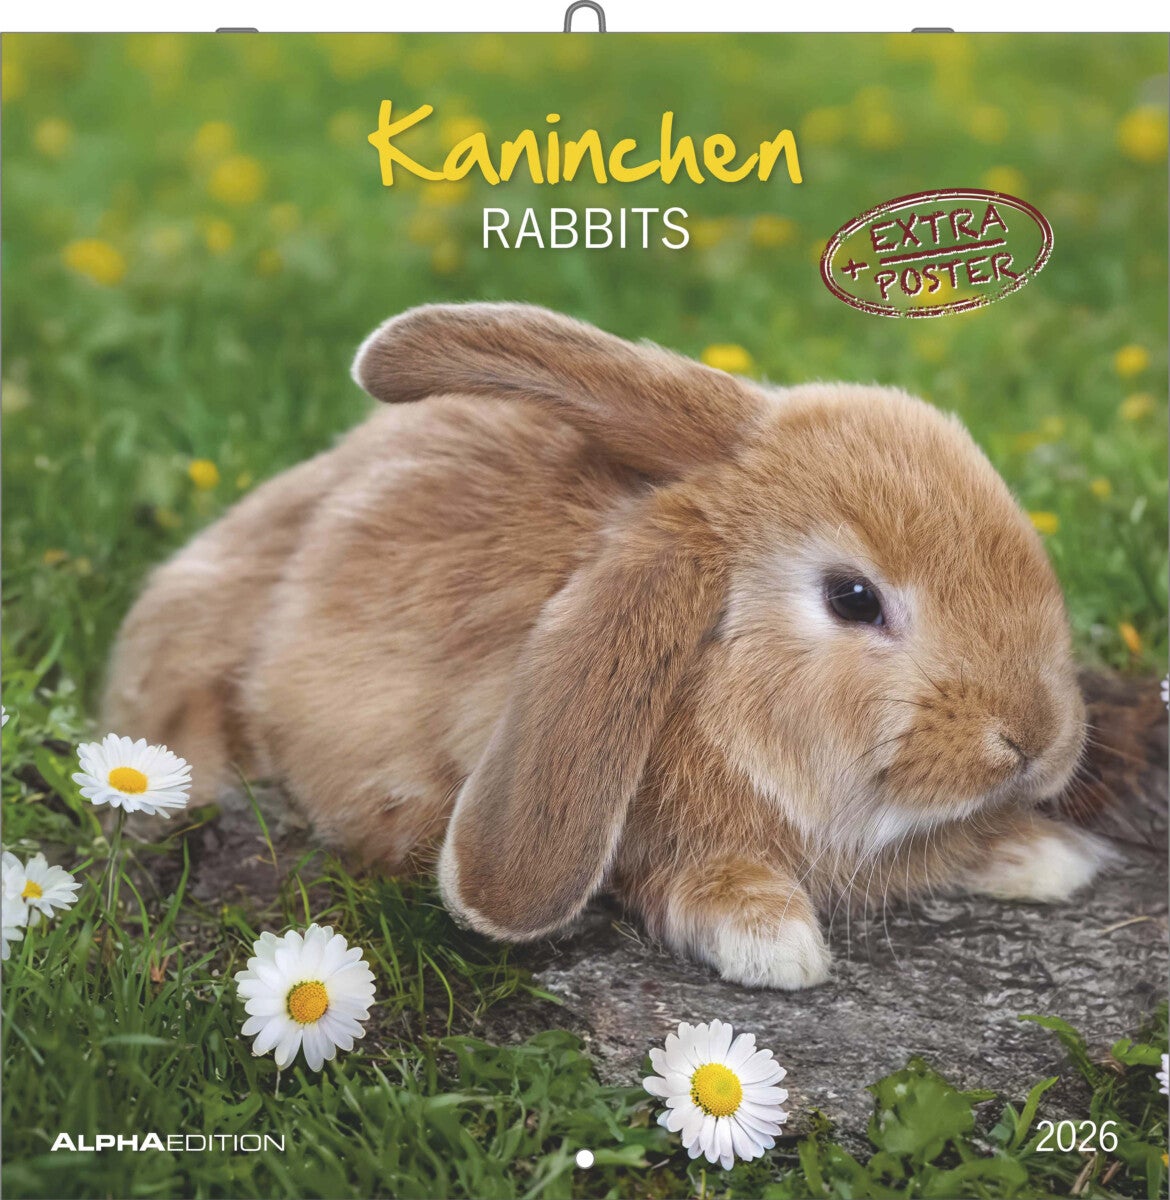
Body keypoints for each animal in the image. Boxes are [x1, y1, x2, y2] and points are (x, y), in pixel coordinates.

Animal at [103, 302, 1113, 989]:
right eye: (853, 598)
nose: (1038, 740)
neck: (718, 692)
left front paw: (1040, 856)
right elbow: (681, 876)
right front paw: (772, 940)